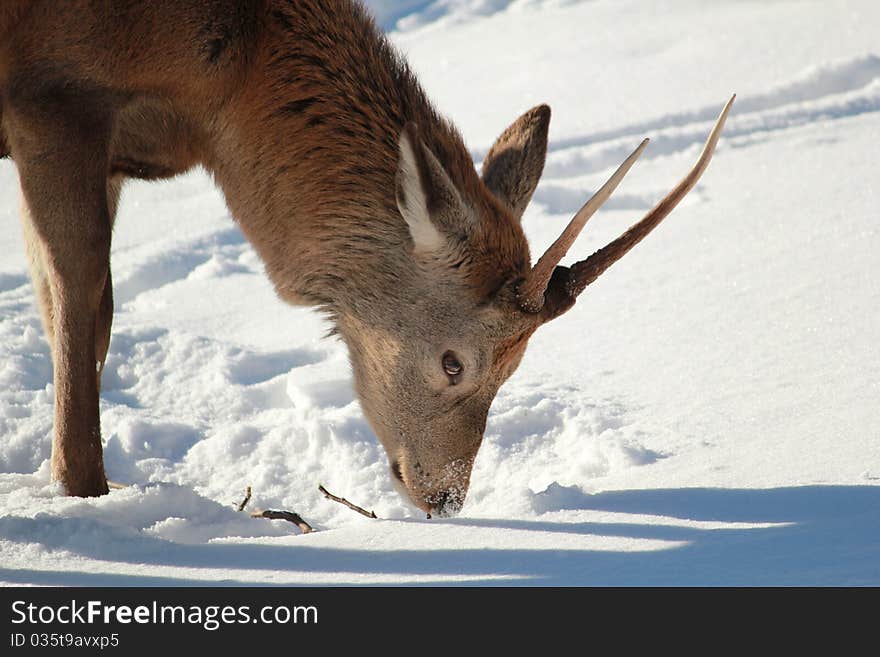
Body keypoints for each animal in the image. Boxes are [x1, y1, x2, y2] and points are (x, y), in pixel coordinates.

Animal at [0, 0, 732, 516]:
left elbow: (86, 310)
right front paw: (83, 488)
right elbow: (78, 292)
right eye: (453, 361)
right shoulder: (54, 100)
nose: (447, 497)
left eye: (516, 366)